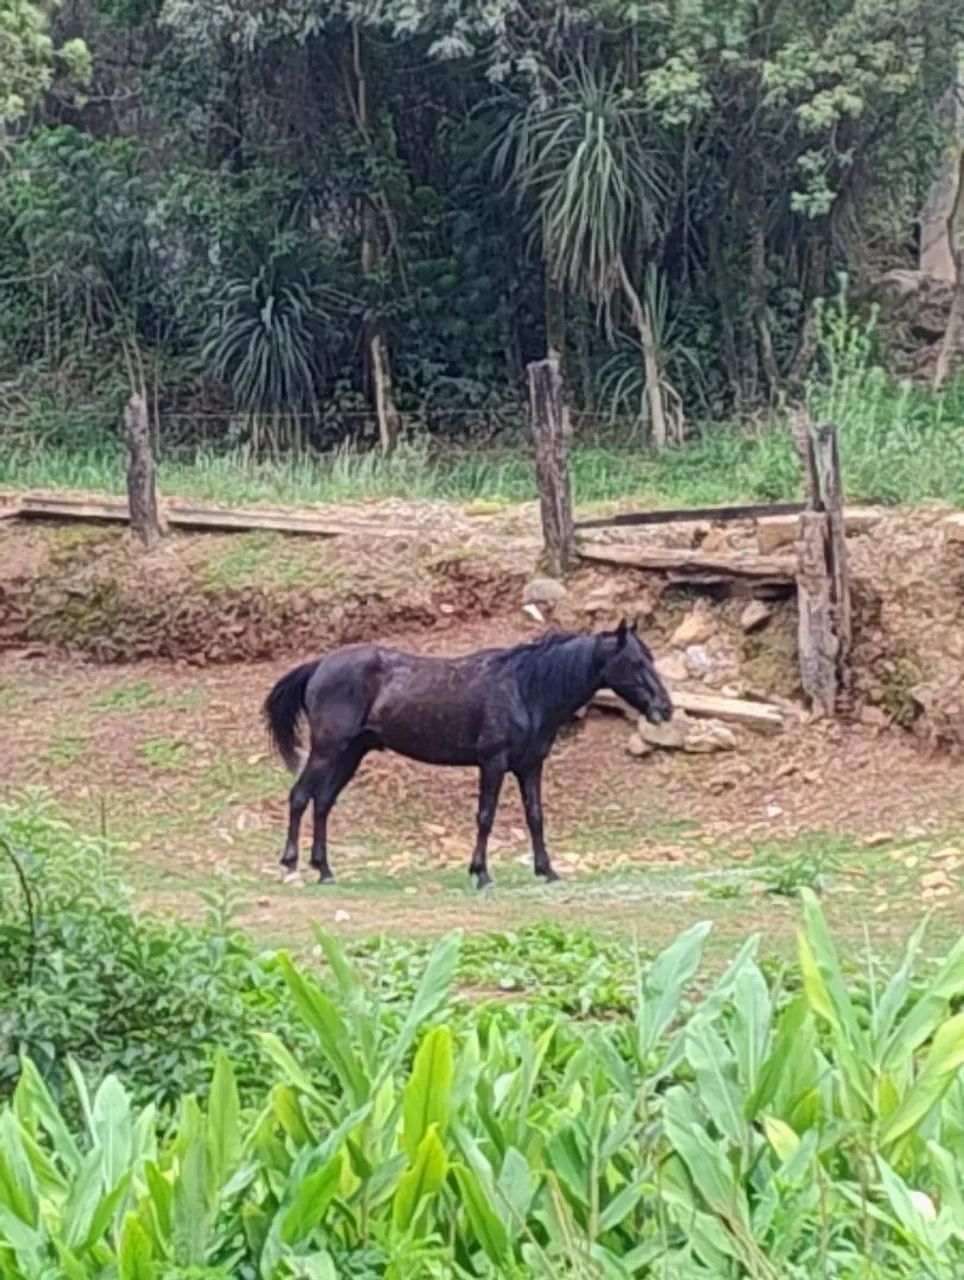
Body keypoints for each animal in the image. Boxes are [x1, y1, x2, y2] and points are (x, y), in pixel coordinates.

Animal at [263, 619, 672, 889]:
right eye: (636, 662)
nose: (665, 709)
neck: (525, 689)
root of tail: (320, 665)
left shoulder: (530, 767)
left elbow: (536, 817)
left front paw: (548, 871)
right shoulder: (492, 764)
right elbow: (486, 817)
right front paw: (482, 873)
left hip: (350, 755)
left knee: (323, 802)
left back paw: (324, 870)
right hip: (326, 750)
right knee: (299, 797)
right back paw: (291, 864)